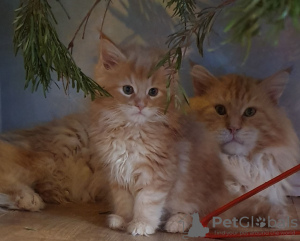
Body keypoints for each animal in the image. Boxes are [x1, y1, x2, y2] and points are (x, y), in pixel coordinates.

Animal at [89, 37, 230, 235]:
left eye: (153, 92)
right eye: (127, 89)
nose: (140, 105)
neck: (131, 132)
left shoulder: (156, 173)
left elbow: (146, 202)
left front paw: (142, 224)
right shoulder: (117, 173)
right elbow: (124, 201)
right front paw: (124, 219)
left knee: (204, 217)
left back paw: (178, 222)